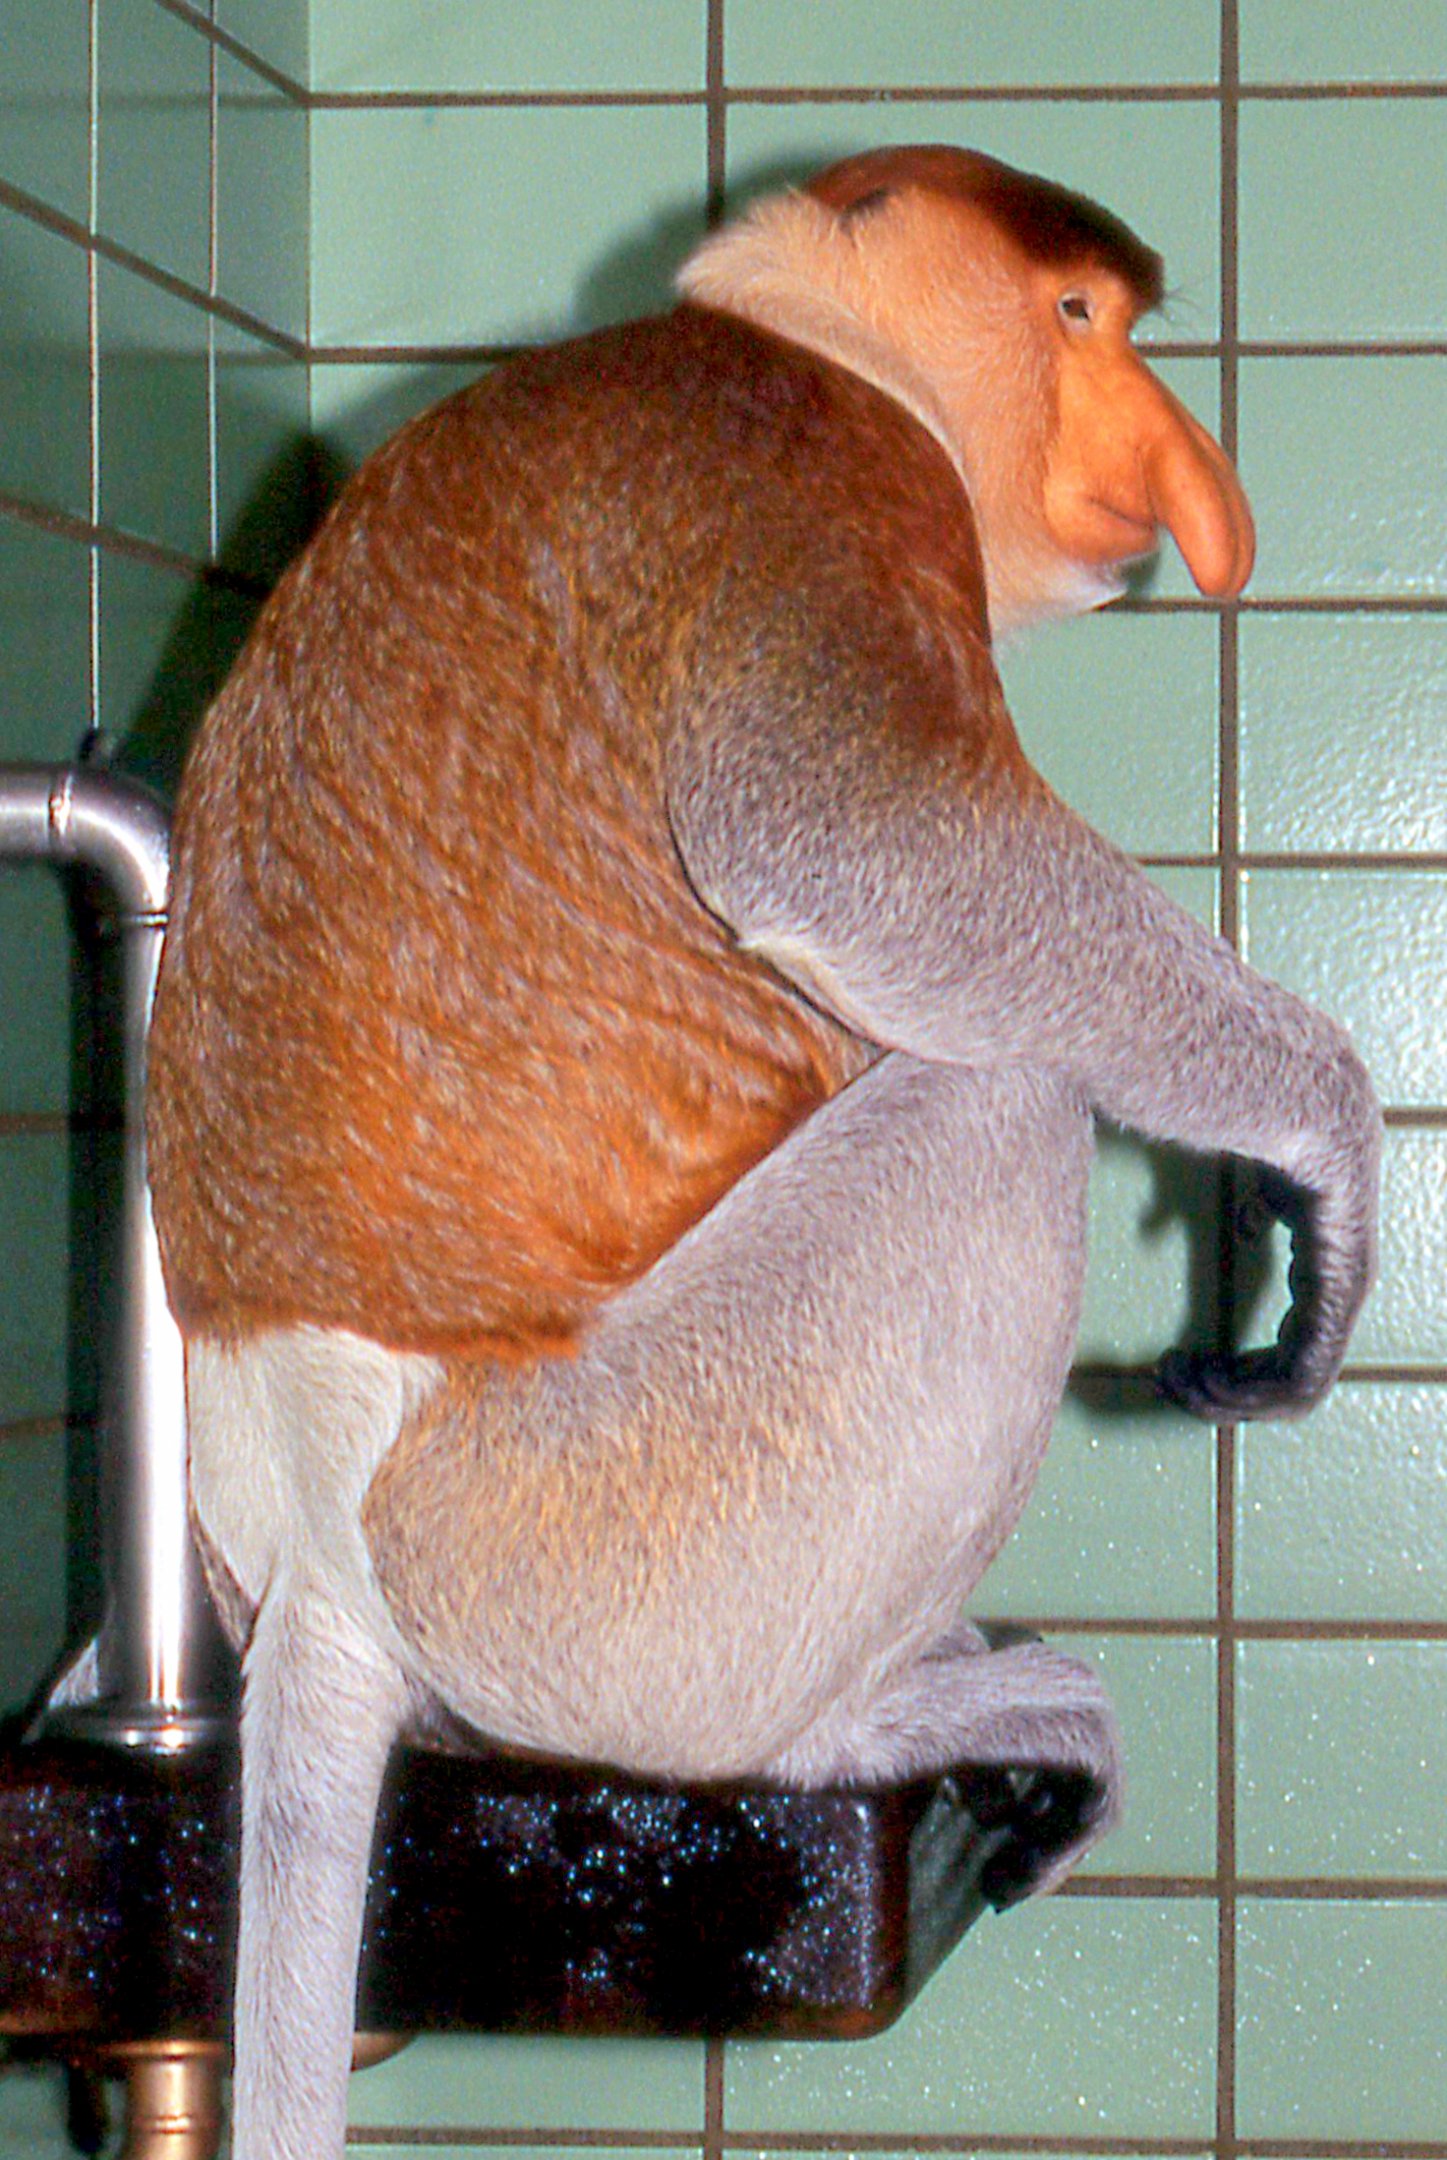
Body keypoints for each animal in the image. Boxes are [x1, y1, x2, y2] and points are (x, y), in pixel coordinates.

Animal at [144, 146, 1380, 2160]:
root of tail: (318, 1559)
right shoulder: (802, 470)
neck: (799, 329)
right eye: (1073, 317)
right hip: (599, 1539)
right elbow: (857, 846)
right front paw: (1326, 1158)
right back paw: (852, 1729)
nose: (1174, 456)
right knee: (997, 1104)